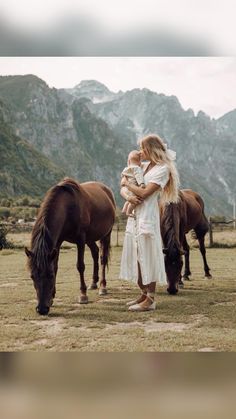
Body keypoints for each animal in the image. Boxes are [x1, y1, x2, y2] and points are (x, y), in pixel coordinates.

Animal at [24, 179, 115, 316]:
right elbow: (55, 266)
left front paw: (83, 295)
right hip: (90, 238)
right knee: (95, 252)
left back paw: (103, 286)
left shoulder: (80, 239)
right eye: (32, 276)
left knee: (103, 258)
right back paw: (93, 283)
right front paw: (52, 298)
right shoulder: (57, 242)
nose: (42, 309)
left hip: (106, 235)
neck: (67, 208)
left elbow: (80, 266)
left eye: (50, 276)